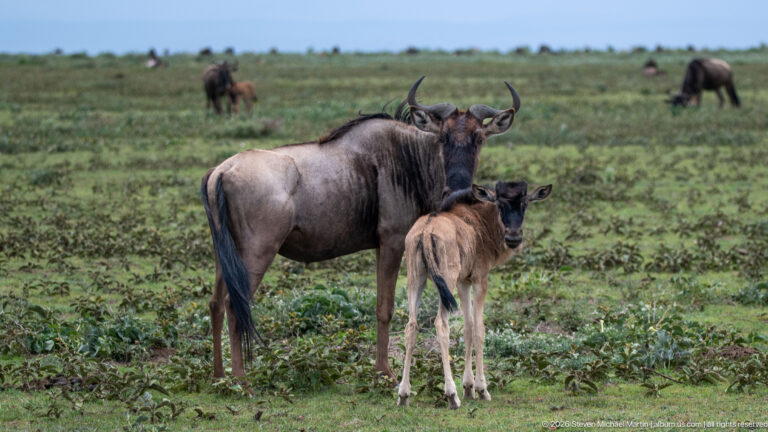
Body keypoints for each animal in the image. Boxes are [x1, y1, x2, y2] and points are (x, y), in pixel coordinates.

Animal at [200, 77, 522, 380]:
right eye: (442, 137)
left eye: (479, 139)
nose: (459, 189)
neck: (407, 158)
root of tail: (222, 170)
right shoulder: (393, 241)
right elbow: (385, 308)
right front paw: (385, 371)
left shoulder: (382, 246)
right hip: (257, 253)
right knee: (234, 304)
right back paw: (240, 378)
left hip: (225, 255)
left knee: (215, 303)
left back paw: (218, 375)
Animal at [397, 181, 552, 408]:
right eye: (500, 205)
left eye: (524, 204)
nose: (513, 237)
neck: (478, 222)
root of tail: (426, 230)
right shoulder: (479, 281)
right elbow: (479, 329)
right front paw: (480, 389)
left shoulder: (463, 282)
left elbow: (468, 327)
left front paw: (468, 387)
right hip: (446, 281)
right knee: (441, 324)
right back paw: (451, 395)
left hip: (416, 280)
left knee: (411, 326)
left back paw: (403, 394)